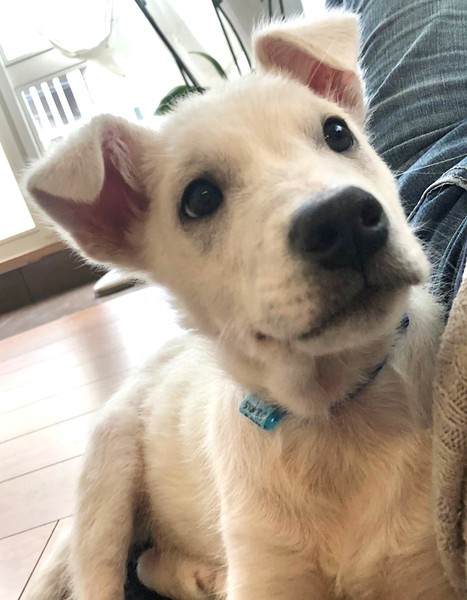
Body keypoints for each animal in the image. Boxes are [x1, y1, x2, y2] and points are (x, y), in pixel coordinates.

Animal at [23, 11, 457, 600]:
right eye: (200, 199)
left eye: (337, 133)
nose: (344, 220)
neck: (333, 415)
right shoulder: (266, 568)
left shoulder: (424, 565)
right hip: (106, 485)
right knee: (112, 573)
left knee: (150, 560)